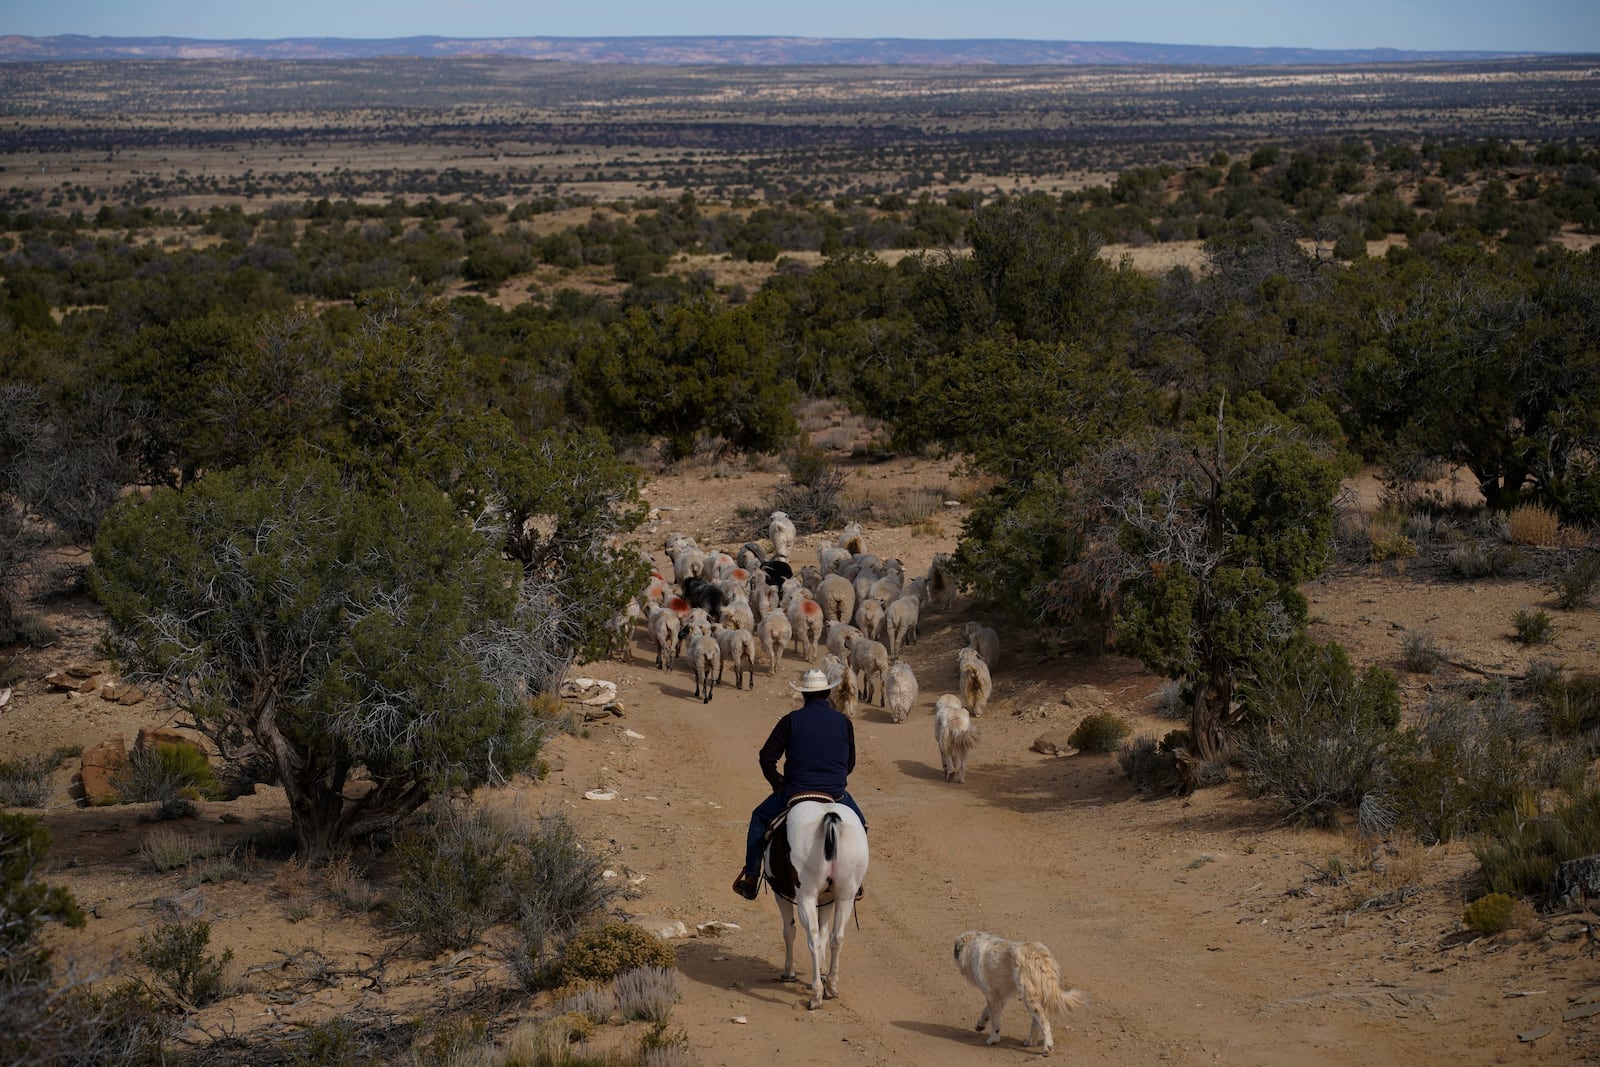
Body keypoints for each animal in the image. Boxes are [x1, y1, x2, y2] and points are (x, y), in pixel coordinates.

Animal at [758, 799, 864, 1011]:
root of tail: (829, 816)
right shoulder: (826, 898)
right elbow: (824, 934)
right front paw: (823, 971)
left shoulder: (781, 894)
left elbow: (789, 931)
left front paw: (789, 971)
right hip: (845, 896)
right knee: (837, 937)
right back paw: (831, 988)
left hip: (806, 896)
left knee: (812, 938)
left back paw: (816, 995)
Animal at [947, 927, 1088, 1055]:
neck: (972, 944)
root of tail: (1039, 955)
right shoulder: (999, 996)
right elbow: (986, 1012)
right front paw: (980, 1025)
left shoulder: (992, 996)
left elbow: (995, 1022)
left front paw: (993, 1039)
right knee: (1037, 1021)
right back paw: (1030, 1041)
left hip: (1028, 996)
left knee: (1044, 1021)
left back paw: (1047, 1047)